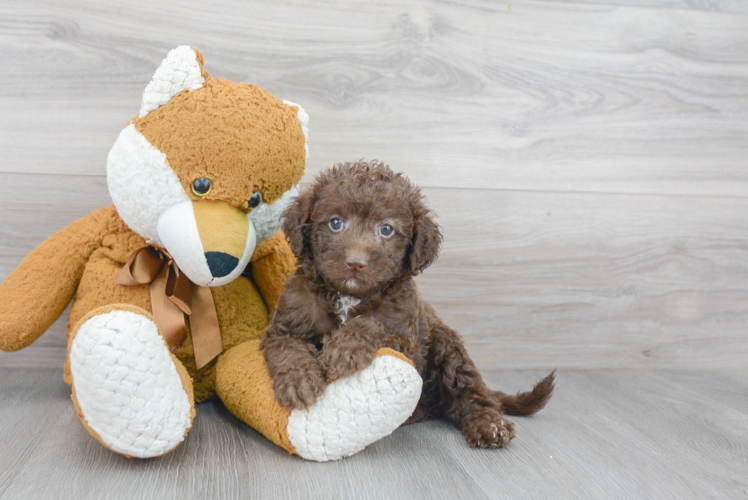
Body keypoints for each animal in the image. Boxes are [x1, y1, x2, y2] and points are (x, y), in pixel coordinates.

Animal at [260, 161, 552, 450]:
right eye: (335, 223)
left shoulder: (406, 339)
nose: (355, 263)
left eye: (386, 229)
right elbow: (289, 351)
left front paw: (344, 349)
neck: (349, 295)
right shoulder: (288, 323)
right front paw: (299, 383)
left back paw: (489, 424)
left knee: (470, 391)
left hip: (446, 345)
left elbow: (371, 324)